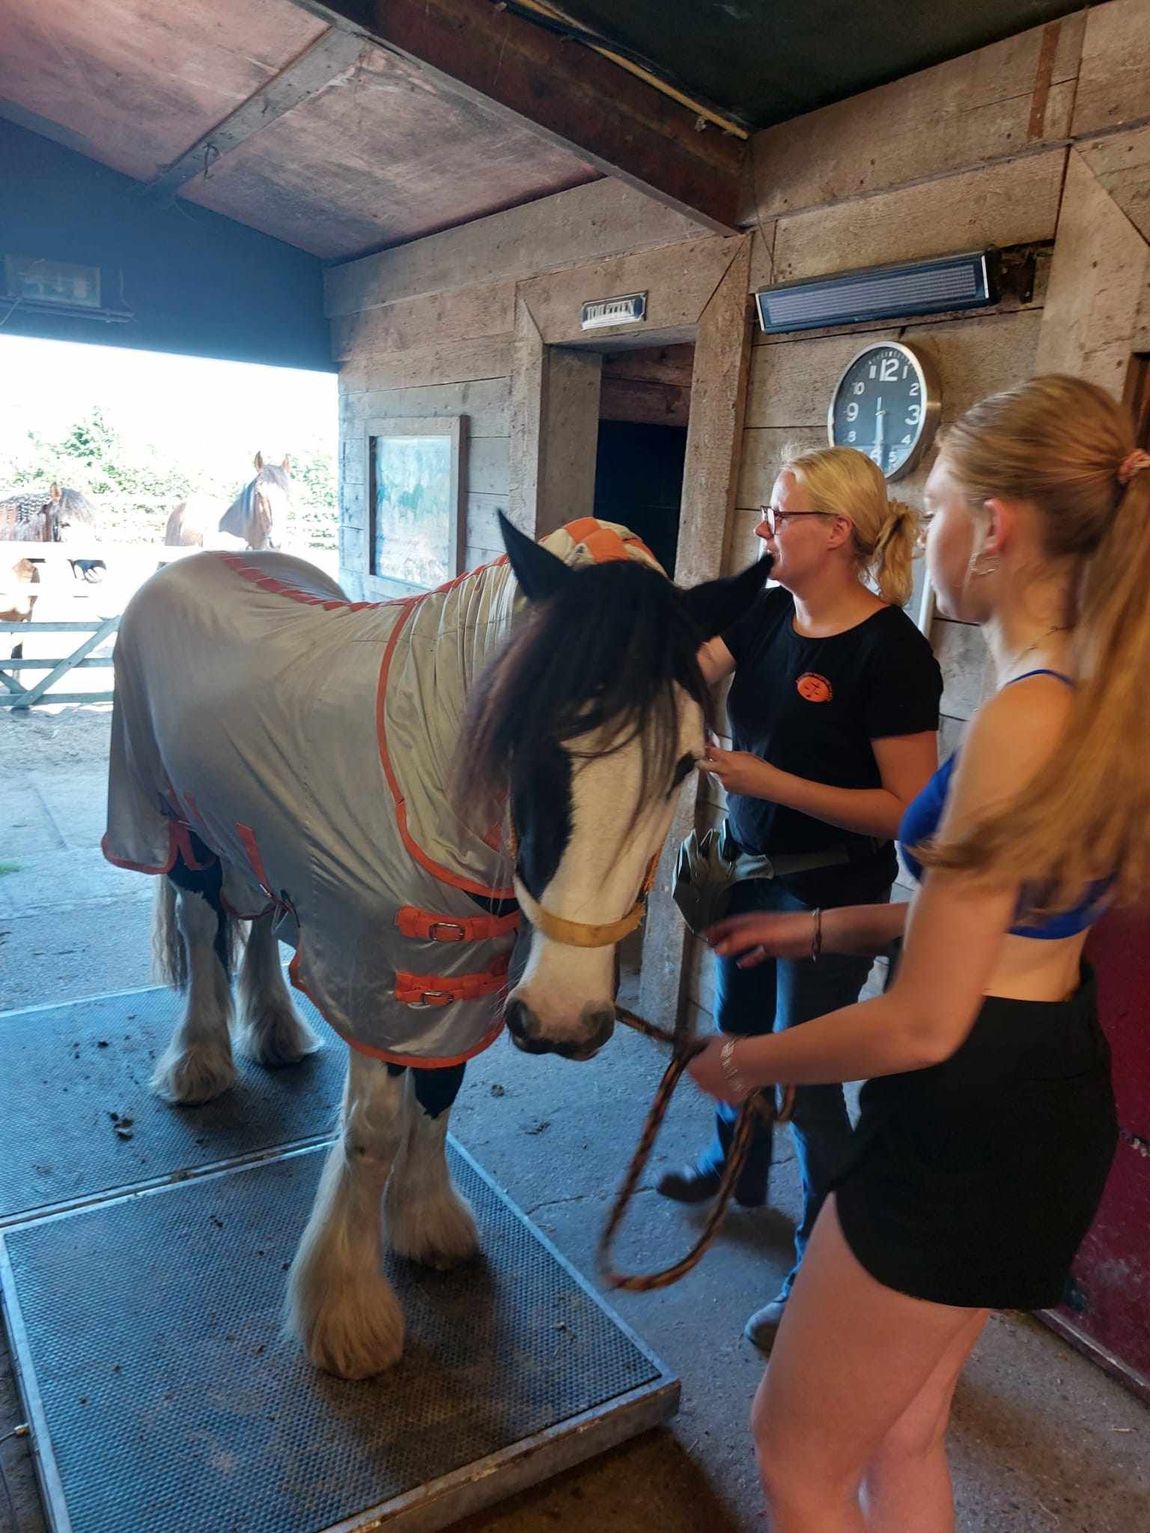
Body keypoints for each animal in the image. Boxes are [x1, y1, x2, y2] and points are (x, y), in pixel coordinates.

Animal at [103, 513, 767, 1380]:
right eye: (523, 734)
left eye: (687, 760)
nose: (565, 1018)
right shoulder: (380, 977)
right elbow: (374, 1130)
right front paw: (349, 1312)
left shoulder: (464, 979)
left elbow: (443, 1089)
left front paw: (426, 1223)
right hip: (182, 832)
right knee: (204, 929)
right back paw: (200, 1063)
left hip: (260, 841)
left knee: (257, 933)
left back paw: (276, 1032)